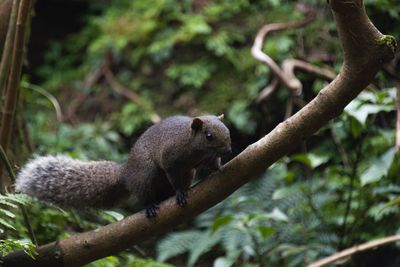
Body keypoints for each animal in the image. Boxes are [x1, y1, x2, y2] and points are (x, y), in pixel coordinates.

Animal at [14, 114, 231, 218]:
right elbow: (173, 176)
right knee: (144, 194)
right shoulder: (171, 159)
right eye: (209, 136)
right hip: (145, 175)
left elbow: (213, 164)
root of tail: (126, 172)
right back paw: (150, 206)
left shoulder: (206, 158)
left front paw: (221, 168)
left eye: (227, 130)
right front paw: (180, 193)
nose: (229, 150)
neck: (195, 149)